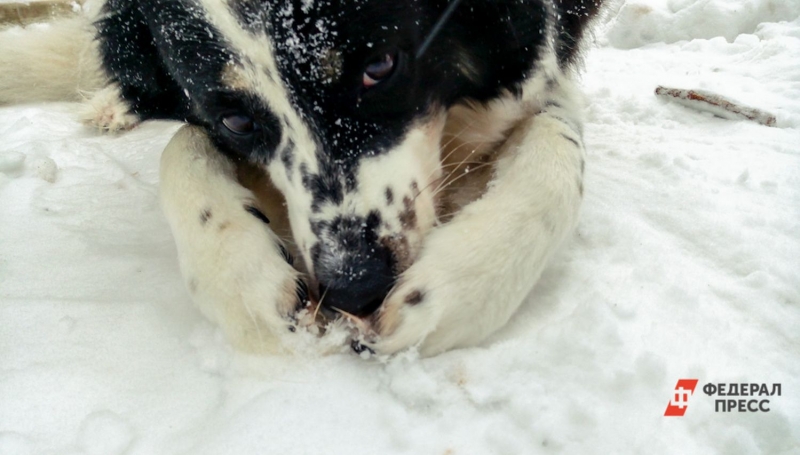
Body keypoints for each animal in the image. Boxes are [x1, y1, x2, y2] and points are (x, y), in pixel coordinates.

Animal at [0, 0, 600, 356]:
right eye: (237, 121)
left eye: (379, 67)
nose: (356, 287)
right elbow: (181, 142)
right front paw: (240, 277)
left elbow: (556, 145)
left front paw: (460, 285)